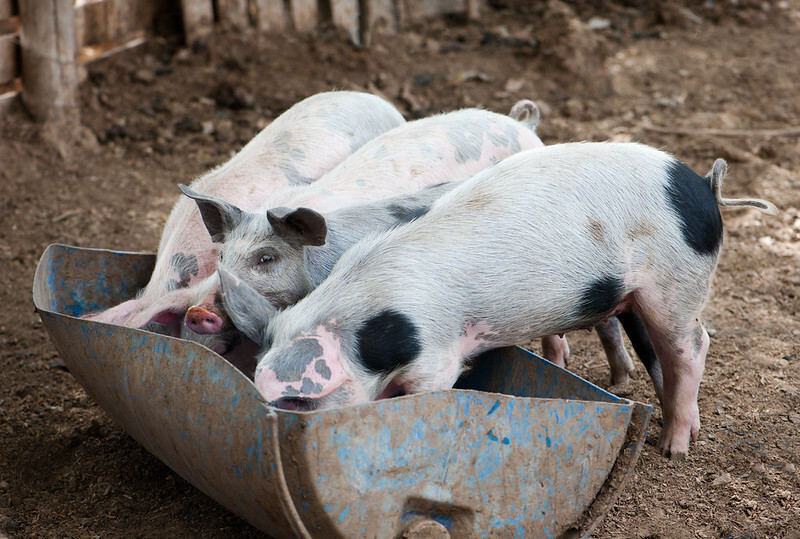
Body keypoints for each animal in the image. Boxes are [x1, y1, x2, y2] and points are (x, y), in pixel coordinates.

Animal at [218, 141, 777, 460]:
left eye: (299, 401)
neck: (373, 332)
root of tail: (705, 187)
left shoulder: (437, 357)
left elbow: (422, 392)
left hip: (677, 282)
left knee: (694, 345)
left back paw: (673, 450)